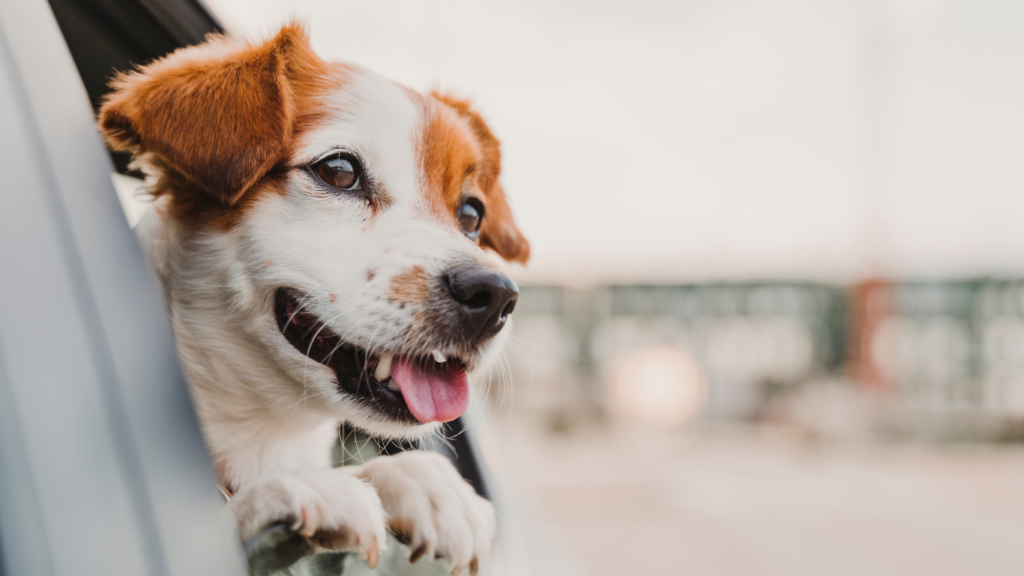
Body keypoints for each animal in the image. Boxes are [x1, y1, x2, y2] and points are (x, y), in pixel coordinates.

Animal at [97, 23, 528, 573]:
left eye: (471, 214)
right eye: (339, 171)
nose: (494, 295)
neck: (268, 432)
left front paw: (424, 483)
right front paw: (288, 490)